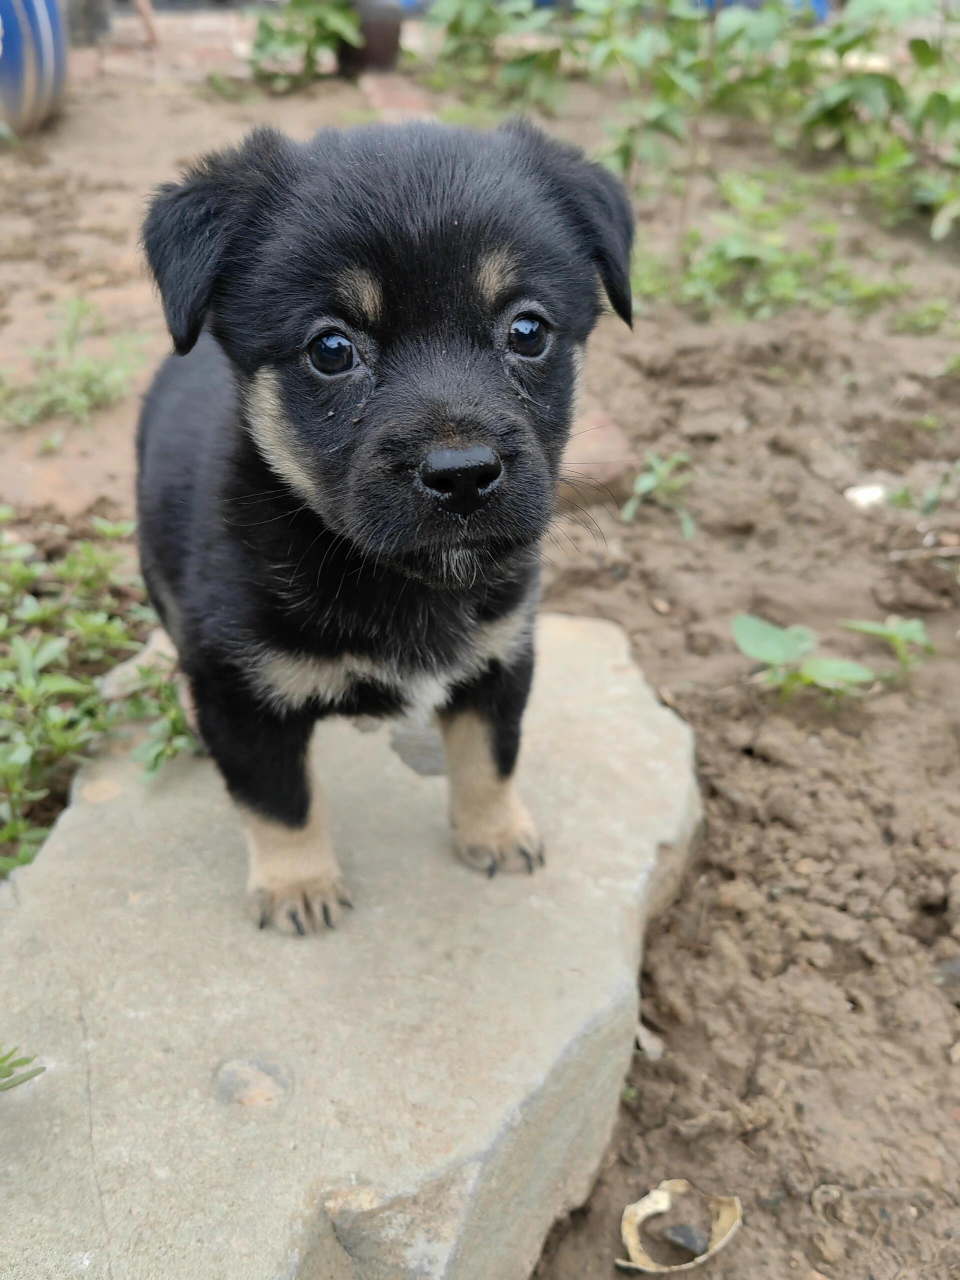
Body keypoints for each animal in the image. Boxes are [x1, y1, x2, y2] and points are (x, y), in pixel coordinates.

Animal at [135, 120, 632, 936]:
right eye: (331, 349)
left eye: (528, 330)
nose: (463, 475)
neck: (396, 575)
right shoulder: (241, 694)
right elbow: (279, 800)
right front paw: (298, 885)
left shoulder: (502, 653)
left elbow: (490, 755)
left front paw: (497, 832)